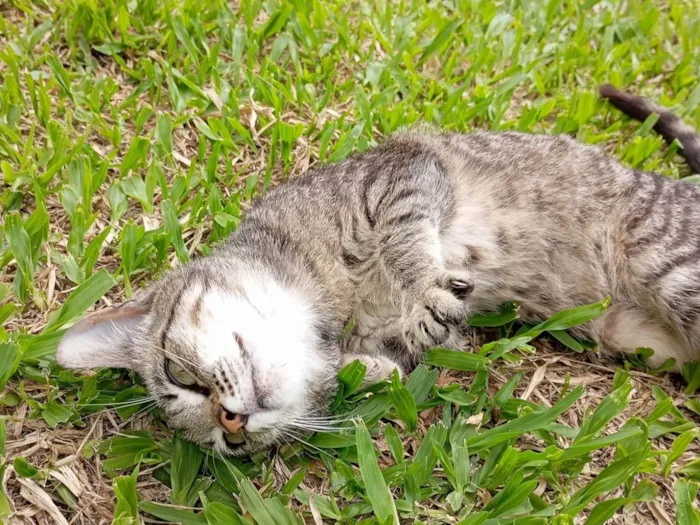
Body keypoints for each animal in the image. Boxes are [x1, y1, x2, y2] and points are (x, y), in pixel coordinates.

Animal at [56, 85, 700, 454]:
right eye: (224, 448)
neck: (326, 302)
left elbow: (405, 241)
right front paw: (376, 365)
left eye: (180, 375)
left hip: (667, 263)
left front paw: (424, 288)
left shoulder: (402, 174)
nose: (233, 426)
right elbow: (399, 352)